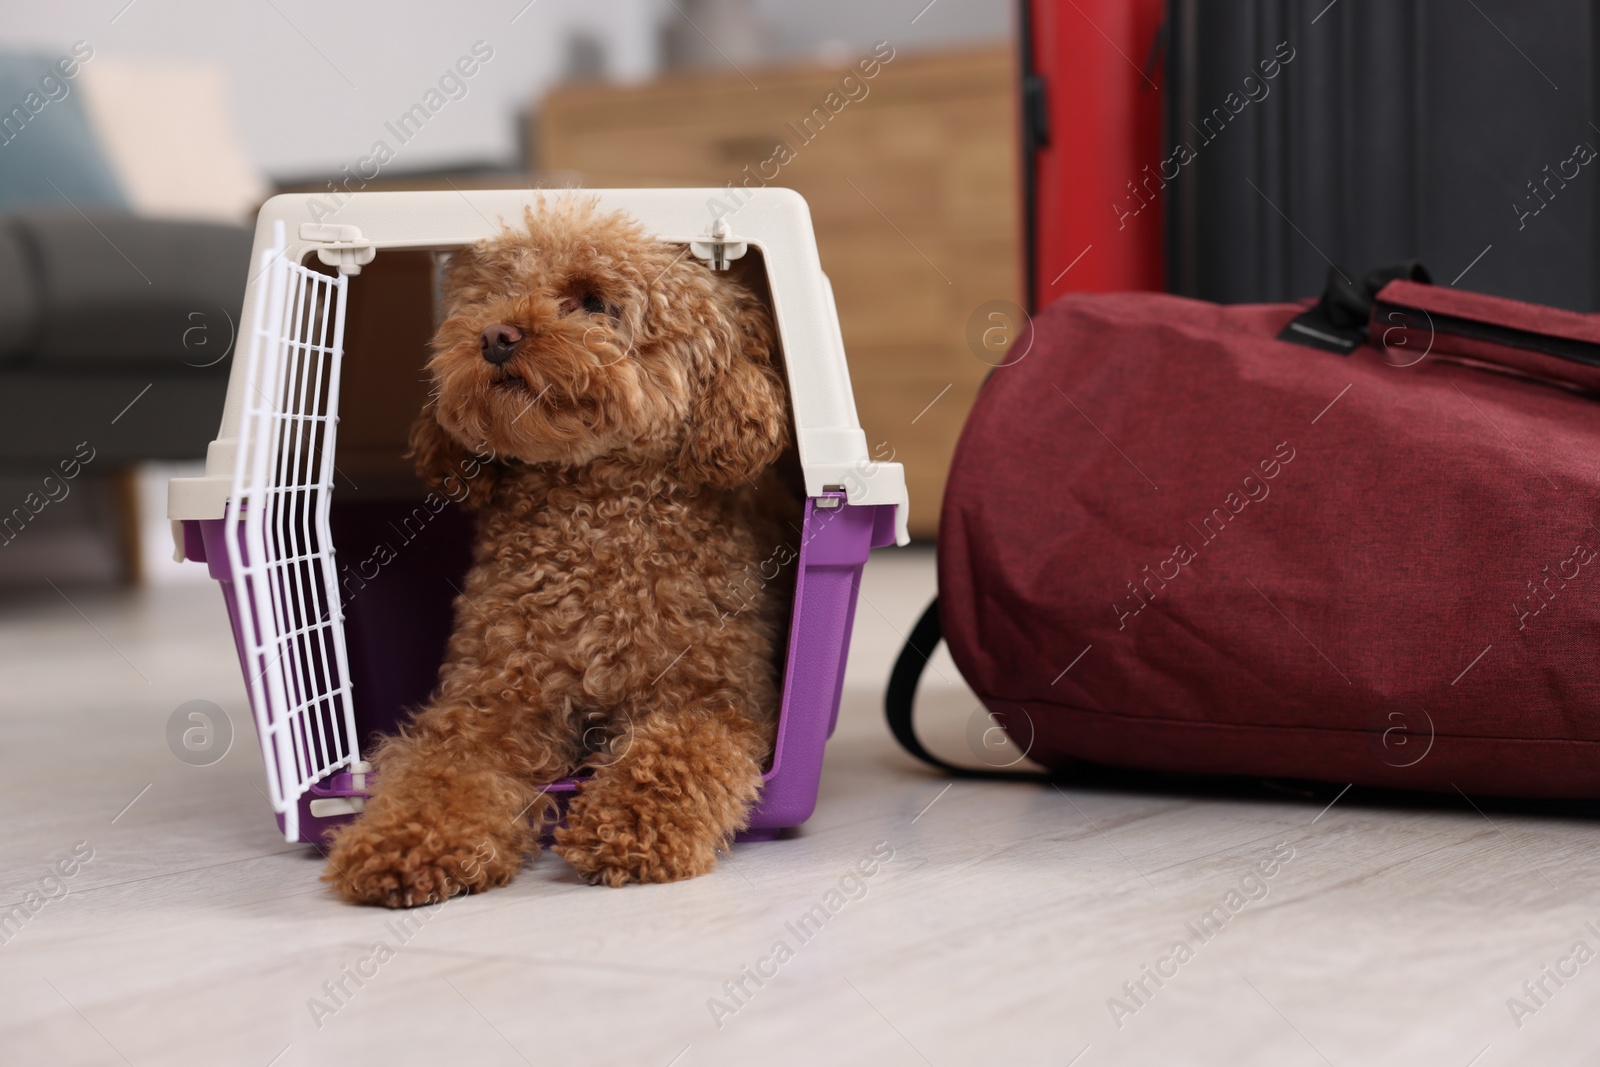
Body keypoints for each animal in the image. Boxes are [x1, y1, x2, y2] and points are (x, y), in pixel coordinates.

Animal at [324, 198, 800, 902]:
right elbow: (443, 769)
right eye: (489, 296)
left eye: (595, 301)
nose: (495, 336)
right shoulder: (491, 700)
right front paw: (408, 844)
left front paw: (628, 826)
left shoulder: (714, 697)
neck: (593, 517)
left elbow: (676, 750)